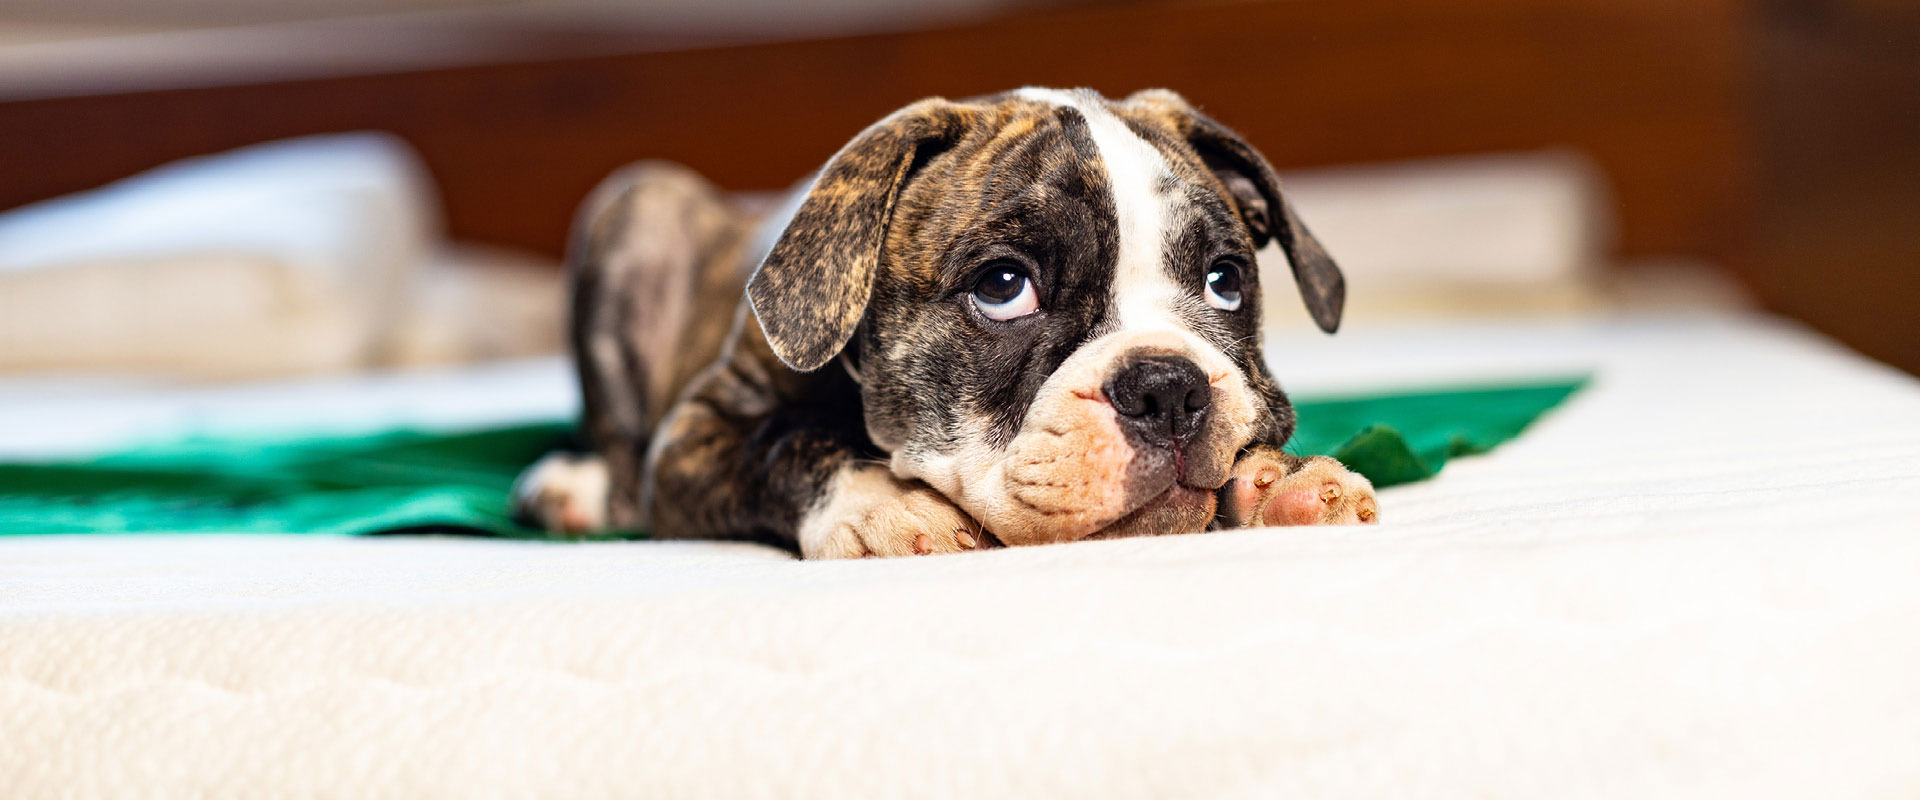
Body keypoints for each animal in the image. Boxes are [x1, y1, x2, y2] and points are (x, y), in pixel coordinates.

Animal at [518, 85, 1374, 556]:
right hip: (638, 206)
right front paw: (880, 502)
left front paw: (1278, 479)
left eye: (1225, 281)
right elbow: (785, 443)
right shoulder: (696, 439)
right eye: (1003, 287)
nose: (1169, 387)